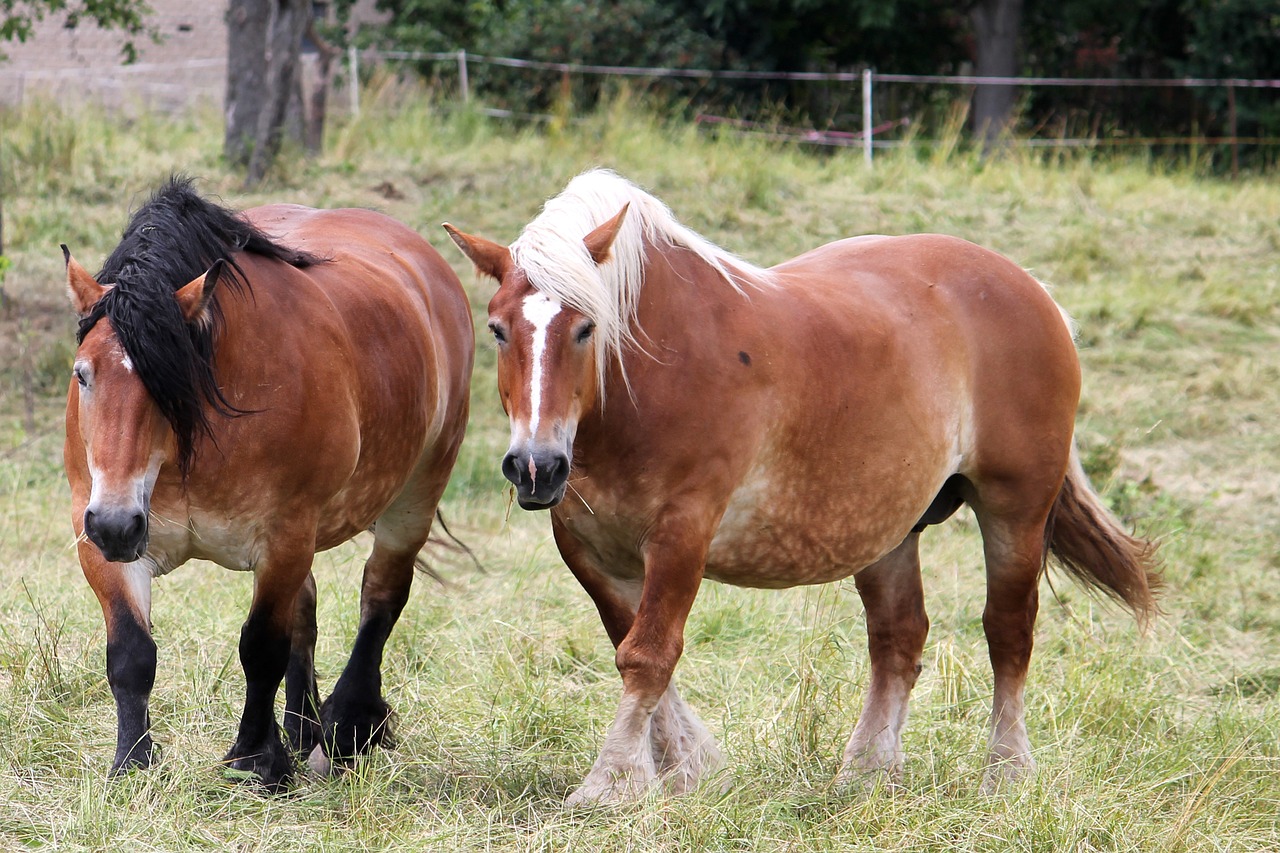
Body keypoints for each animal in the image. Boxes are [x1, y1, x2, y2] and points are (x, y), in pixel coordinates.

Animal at [66, 175, 476, 788]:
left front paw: (256, 760)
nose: (116, 524)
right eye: (82, 374)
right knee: (306, 611)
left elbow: (261, 648)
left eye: (174, 382)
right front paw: (132, 763)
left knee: (381, 598)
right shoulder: (97, 532)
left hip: (415, 496)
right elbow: (132, 653)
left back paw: (347, 726)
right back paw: (303, 728)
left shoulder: (284, 534)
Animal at [445, 169, 1167, 799]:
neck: (646, 377)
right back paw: (867, 772)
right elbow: (633, 650)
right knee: (898, 639)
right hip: (887, 527)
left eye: (585, 327)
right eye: (498, 329)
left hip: (1015, 509)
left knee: (1008, 631)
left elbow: (648, 654)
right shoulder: (590, 548)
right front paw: (686, 768)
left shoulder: (682, 534)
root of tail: (1034, 291)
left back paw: (1007, 772)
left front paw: (611, 783)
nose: (536, 466)